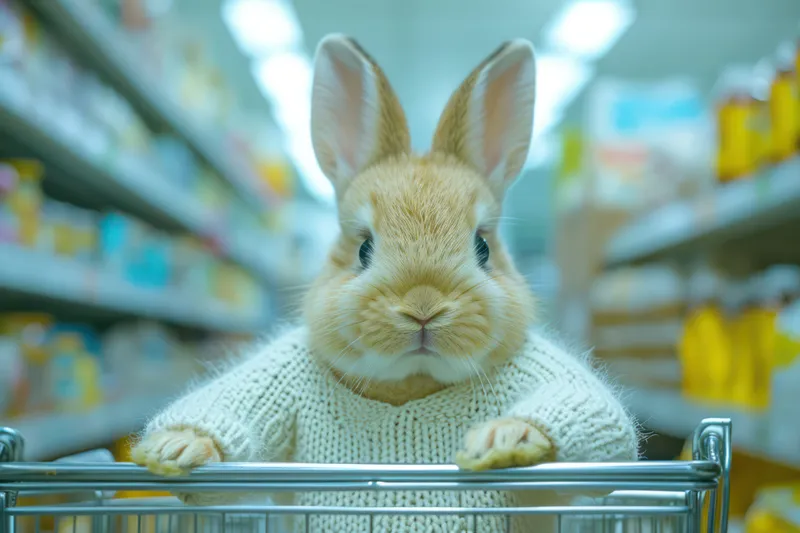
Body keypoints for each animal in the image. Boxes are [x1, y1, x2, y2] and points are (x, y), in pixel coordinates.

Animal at [132, 34, 638, 532]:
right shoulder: (277, 377)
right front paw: (174, 448)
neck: (410, 380)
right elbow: (234, 411)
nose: (423, 307)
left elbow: (601, 419)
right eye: (363, 248)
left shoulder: (545, 373)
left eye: (483, 247)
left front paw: (506, 437)